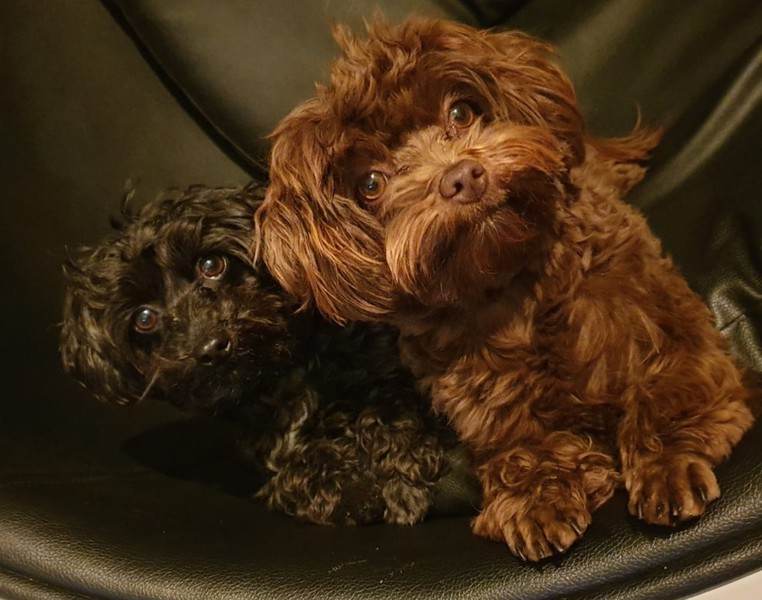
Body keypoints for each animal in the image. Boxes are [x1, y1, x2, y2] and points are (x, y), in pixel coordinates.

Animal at [60, 182, 455, 526]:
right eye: (144, 318)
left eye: (211, 265)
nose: (212, 347)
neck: (288, 370)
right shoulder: (270, 439)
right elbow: (300, 467)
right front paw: (339, 485)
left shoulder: (389, 368)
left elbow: (394, 412)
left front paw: (401, 479)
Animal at [255, 17, 756, 560]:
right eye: (370, 183)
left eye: (461, 112)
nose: (462, 177)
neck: (510, 285)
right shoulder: (481, 400)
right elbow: (517, 448)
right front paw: (536, 498)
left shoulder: (670, 328)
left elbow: (667, 388)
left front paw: (666, 464)